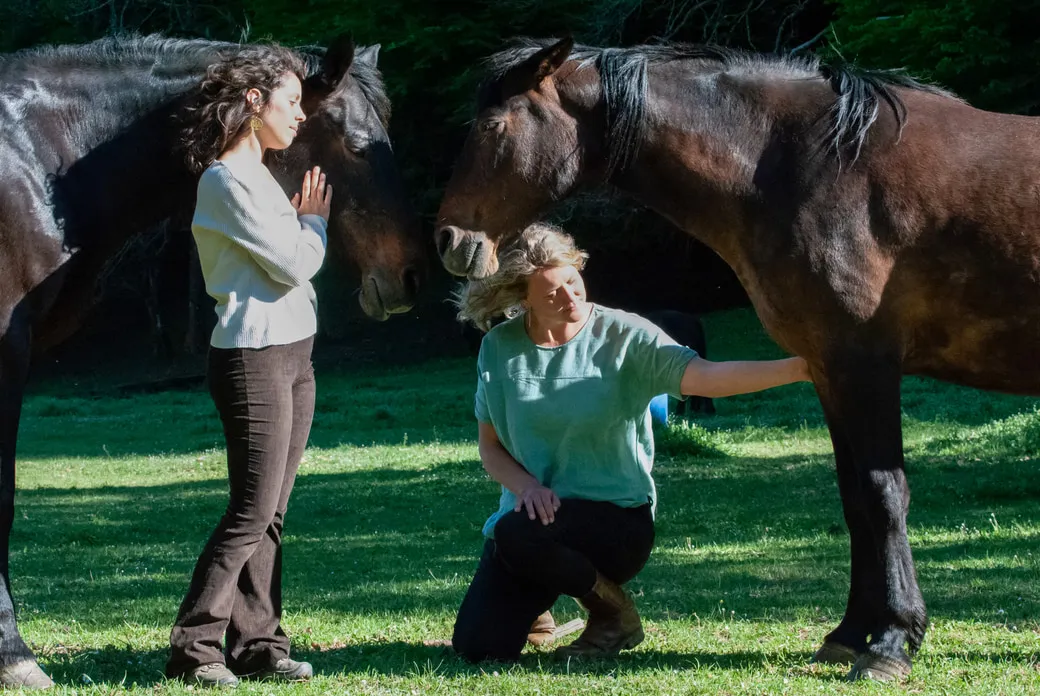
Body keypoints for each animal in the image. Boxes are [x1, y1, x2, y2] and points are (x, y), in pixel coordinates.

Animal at [434, 37, 1040, 681]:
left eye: (493, 126)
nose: (448, 240)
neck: (814, 169)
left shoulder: (865, 366)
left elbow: (884, 495)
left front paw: (892, 642)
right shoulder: (829, 370)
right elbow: (855, 501)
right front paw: (850, 634)